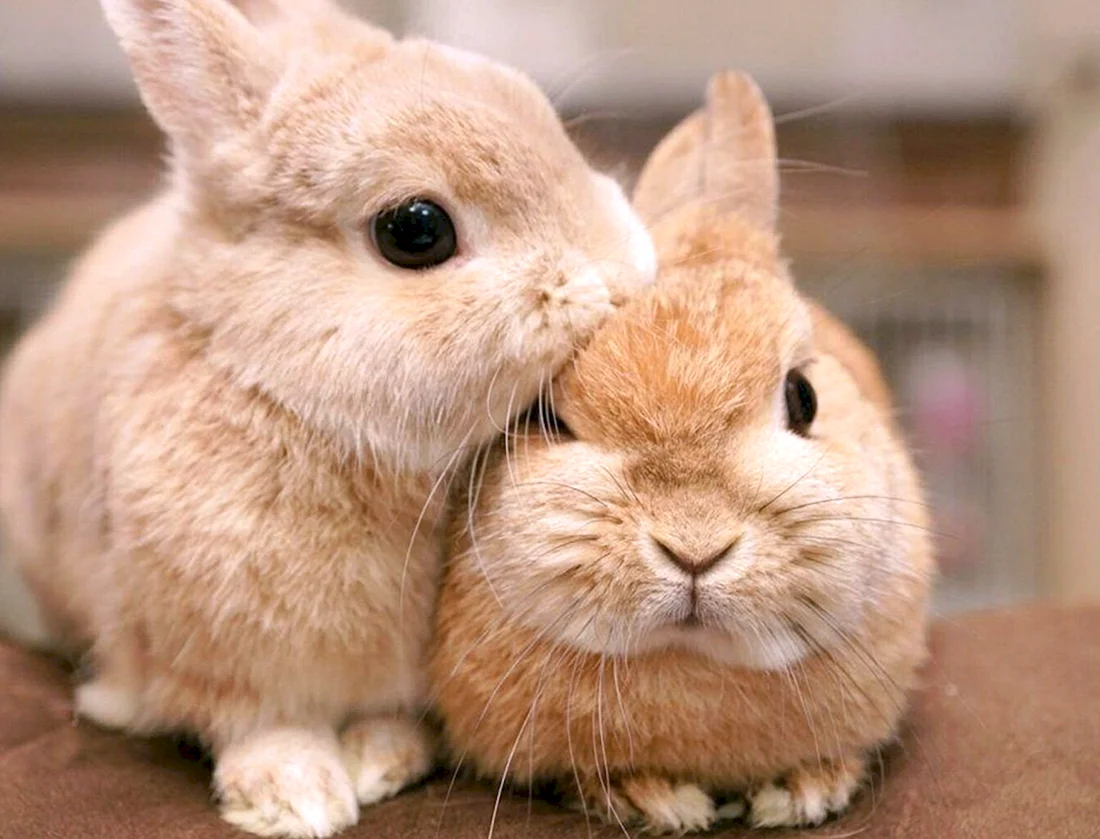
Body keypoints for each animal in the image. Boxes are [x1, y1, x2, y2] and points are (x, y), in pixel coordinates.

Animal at [0, 1, 655, 836]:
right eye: (416, 229)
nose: (629, 273)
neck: (296, 406)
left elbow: (388, 716)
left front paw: (382, 761)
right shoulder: (221, 662)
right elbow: (263, 725)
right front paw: (297, 797)